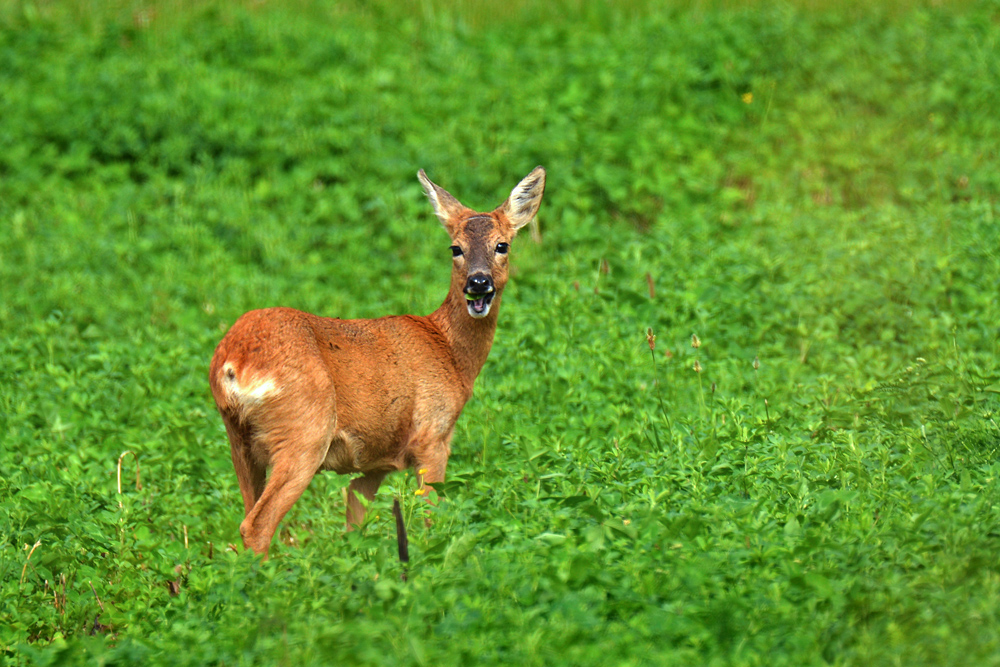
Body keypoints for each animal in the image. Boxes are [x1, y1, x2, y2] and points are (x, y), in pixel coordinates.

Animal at [208, 166, 546, 556]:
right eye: (455, 248)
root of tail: (234, 363)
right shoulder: (432, 434)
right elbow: (430, 513)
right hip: (304, 430)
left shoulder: (376, 460)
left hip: (238, 438)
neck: (449, 352)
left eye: (502, 245)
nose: (478, 283)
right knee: (257, 525)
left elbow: (355, 514)